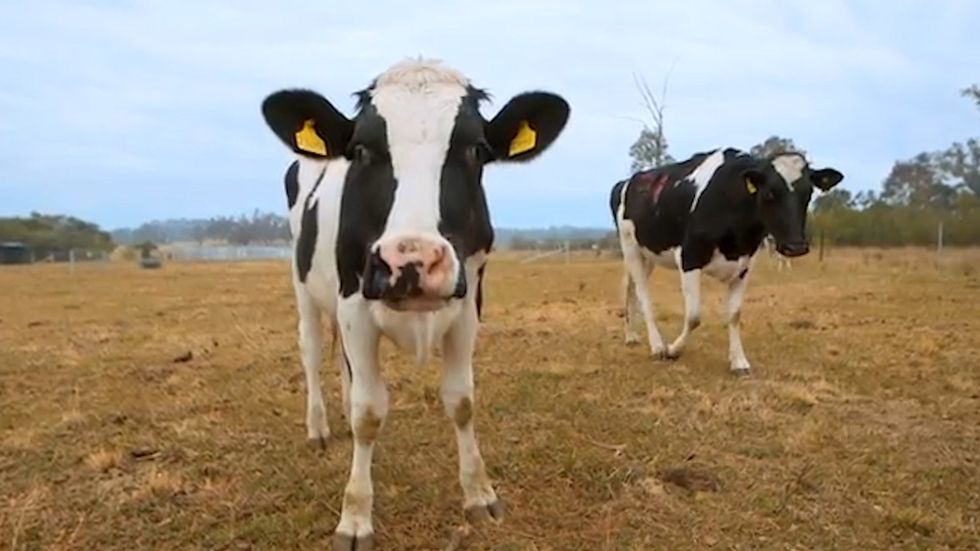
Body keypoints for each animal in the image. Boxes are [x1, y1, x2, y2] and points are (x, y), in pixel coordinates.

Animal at [261, 58, 569, 550]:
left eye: (477, 150)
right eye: (362, 149)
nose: (413, 260)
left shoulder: (469, 303)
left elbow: (461, 401)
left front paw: (479, 494)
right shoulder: (354, 304)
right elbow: (369, 414)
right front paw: (355, 517)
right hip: (302, 283)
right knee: (311, 350)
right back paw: (319, 429)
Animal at [610, 148, 843, 374]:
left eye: (808, 194)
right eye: (769, 193)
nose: (795, 247)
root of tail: (627, 181)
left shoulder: (745, 265)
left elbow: (734, 314)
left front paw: (739, 360)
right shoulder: (689, 257)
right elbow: (694, 316)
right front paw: (674, 349)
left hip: (647, 253)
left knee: (630, 287)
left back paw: (631, 335)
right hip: (630, 246)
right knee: (643, 294)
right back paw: (657, 345)